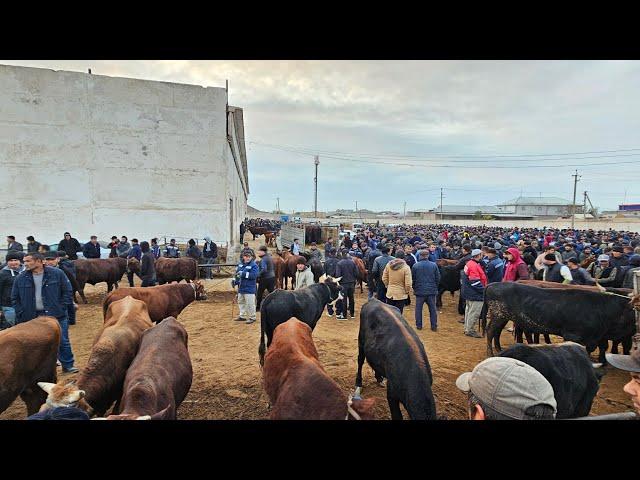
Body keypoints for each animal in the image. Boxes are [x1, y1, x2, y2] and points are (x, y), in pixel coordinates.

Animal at [482, 282, 636, 364]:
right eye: (632, 315)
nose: (635, 329)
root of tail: (492, 284)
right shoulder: (572, 335)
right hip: (498, 315)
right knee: (490, 332)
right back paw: (490, 353)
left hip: (503, 317)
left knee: (497, 332)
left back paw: (499, 349)